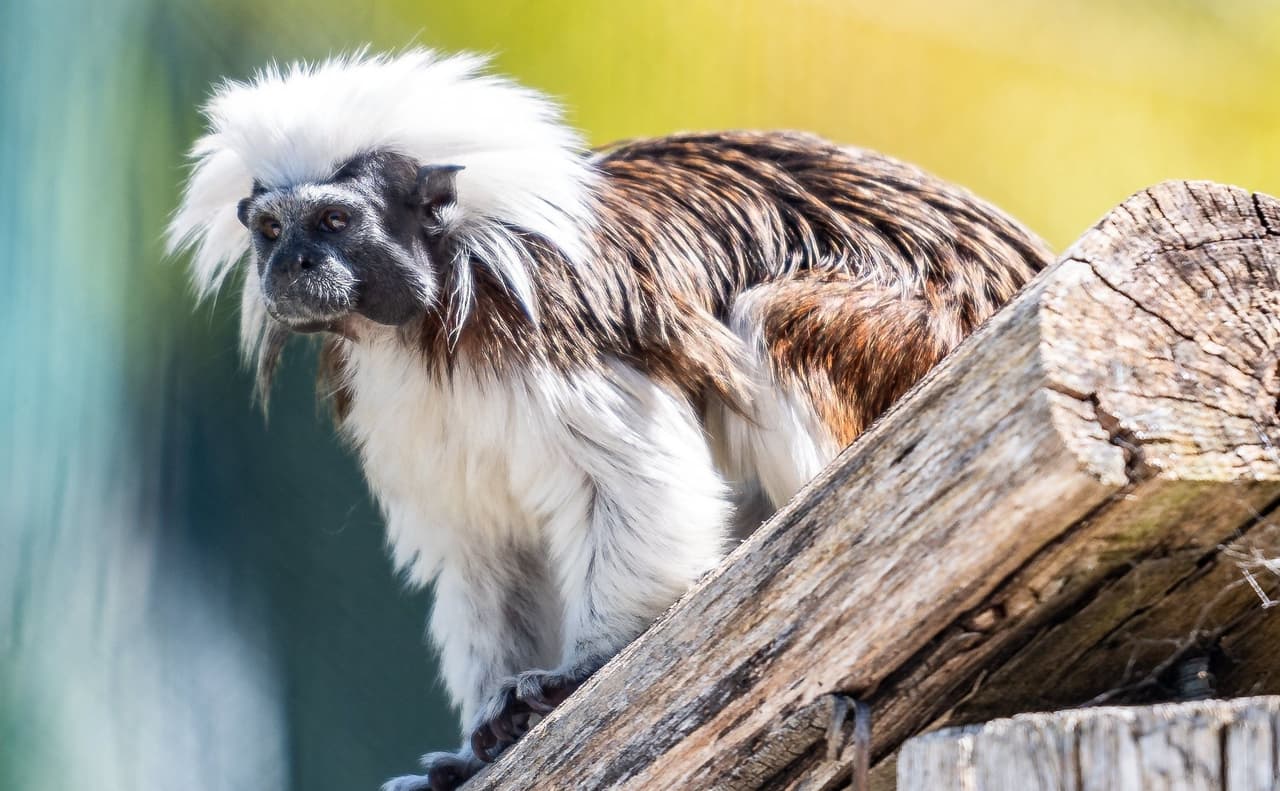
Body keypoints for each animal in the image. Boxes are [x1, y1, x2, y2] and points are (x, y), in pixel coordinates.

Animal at [167, 49, 1053, 791]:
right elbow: (487, 548)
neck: (427, 317)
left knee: (775, 318)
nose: (292, 265)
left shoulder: (561, 331)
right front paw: (478, 745)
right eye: (271, 229)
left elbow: (637, 484)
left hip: (917, 335)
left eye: (335, 223)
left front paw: (581, 671)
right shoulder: (402, 413)